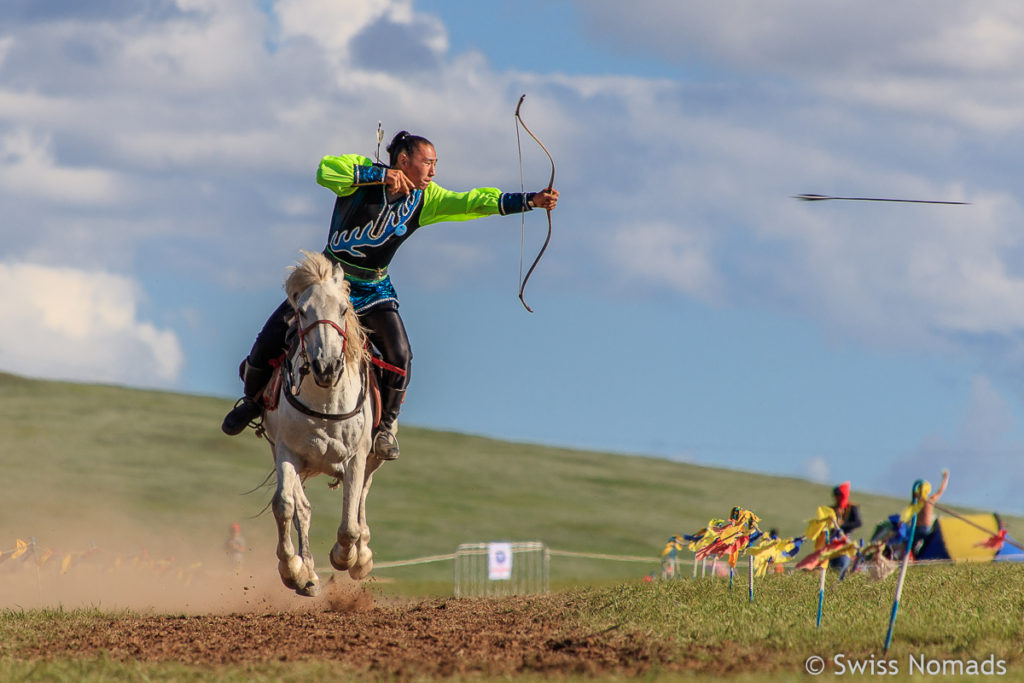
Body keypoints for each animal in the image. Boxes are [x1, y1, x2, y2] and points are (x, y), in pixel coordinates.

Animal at [260, 252, 380, 598]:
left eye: (343, 309)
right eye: (301, 311)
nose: (326, 366)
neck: (325, 400)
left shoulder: (357, 456)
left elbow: (350, 523)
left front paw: (346, 557)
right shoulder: (287, 452)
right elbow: (285, 505)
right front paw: (294, 570)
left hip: (373, 456)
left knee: (361, 498)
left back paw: (361, 557)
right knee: (303, 508)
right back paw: (309, 574)